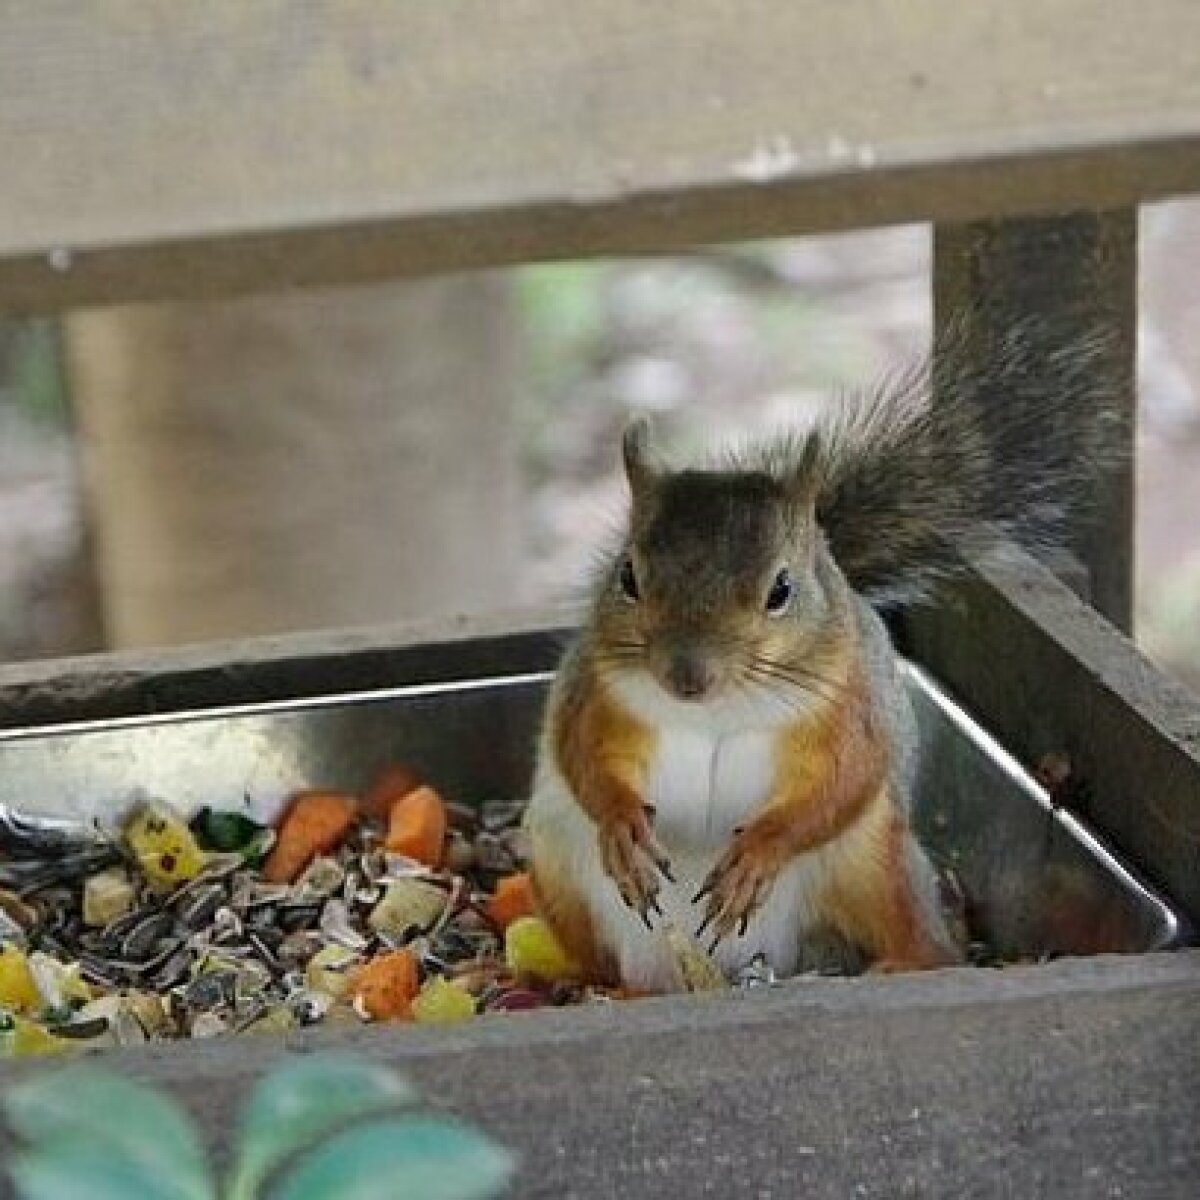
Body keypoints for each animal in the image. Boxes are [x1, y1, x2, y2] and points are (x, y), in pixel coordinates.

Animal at [520, 324, 1118, 988]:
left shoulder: (850, 704)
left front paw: (761, 853)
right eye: (627, 577)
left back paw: (903, 963)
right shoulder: (592, 693)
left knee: (919, 932)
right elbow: (582, 757)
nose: (687, 677)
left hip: (876, 868)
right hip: (558, 869)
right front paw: (623, 825)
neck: (717, 708)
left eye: (781, 589)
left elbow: (844, 779)